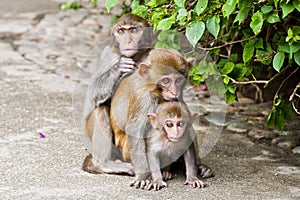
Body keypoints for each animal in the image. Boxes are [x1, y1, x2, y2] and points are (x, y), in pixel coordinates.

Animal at [82, 13, 152, 174]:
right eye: (121, 31)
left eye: (133, 30)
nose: (127, 40)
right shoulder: (107, 54)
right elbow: (93, 95)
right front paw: (119, 68)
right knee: (100, 107)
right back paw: (103, 164)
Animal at [110, 48, 192, 188]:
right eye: (166, 81)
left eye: (178, 80)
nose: (174, 92)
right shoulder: (143, 97)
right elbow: (135, 130)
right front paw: (143, 176)